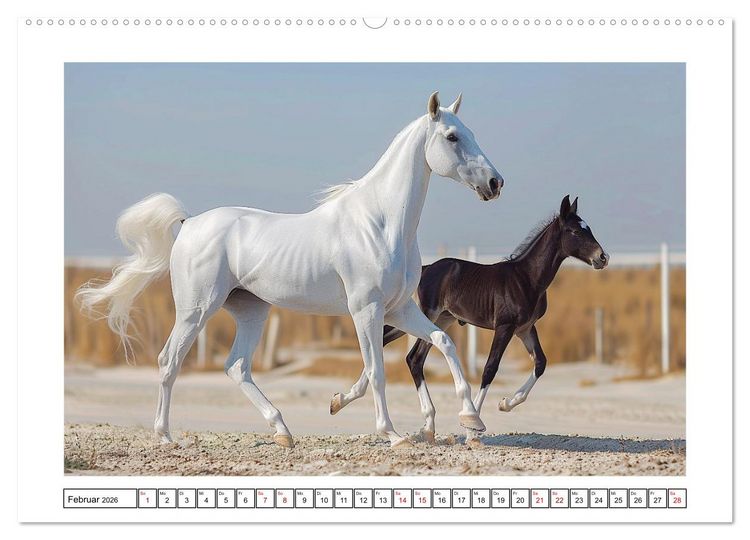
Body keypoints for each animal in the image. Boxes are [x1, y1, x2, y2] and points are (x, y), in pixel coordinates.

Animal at [76, 91, 504, 449]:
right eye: (452, 137)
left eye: (469, 133)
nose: (495, 183)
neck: (379, 223)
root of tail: (189, 223)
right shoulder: (365, 309)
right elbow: (377, 370)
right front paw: (394, 435)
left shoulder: (400, 308)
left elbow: (442, 343)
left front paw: (470, 420)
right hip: (196, 311)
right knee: (169, 362)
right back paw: (165, 437)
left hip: (251, 310)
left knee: (236, 367)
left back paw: (282, 432)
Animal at [331, 195, 609, 445]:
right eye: (574, 231)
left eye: (589, 228)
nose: (602, 258)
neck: (527, 278)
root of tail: (426, 269)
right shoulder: (505, 327)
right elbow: (490, 368)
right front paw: (472, 428)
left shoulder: (526, 328)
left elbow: (540, 363)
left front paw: (505, 404)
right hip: (427, 316)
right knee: (406, 354)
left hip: (440, 320)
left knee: (407, 354)